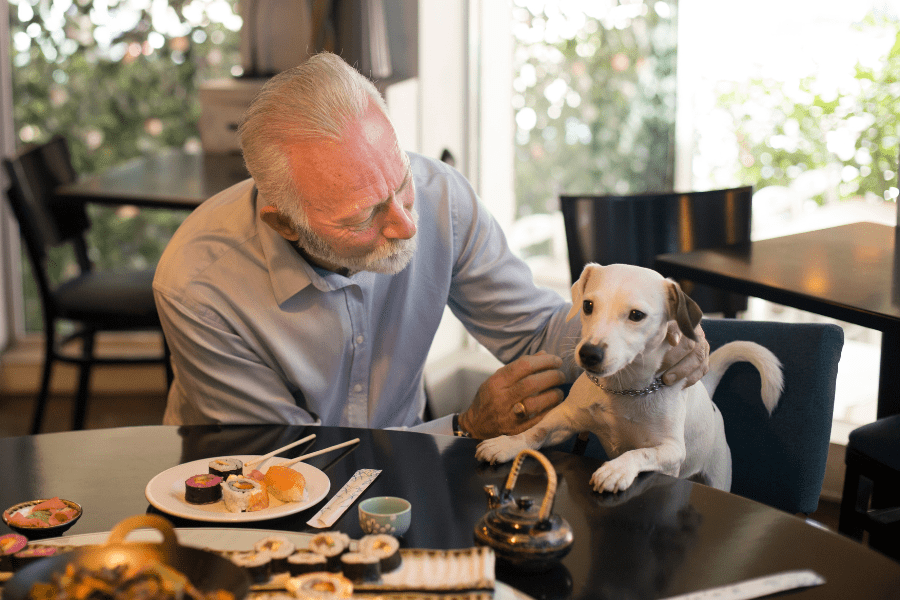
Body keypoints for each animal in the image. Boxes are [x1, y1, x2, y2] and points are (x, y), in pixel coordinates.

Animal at [478, 262, 780, 492]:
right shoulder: (566, 420)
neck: (623, 390)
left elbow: (640, 452)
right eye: (588, 305)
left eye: (636, 315)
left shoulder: (670, 450)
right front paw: (508, 443)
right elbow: (536, 431)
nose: (589, 354)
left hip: (716, 474)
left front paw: (617, 469)